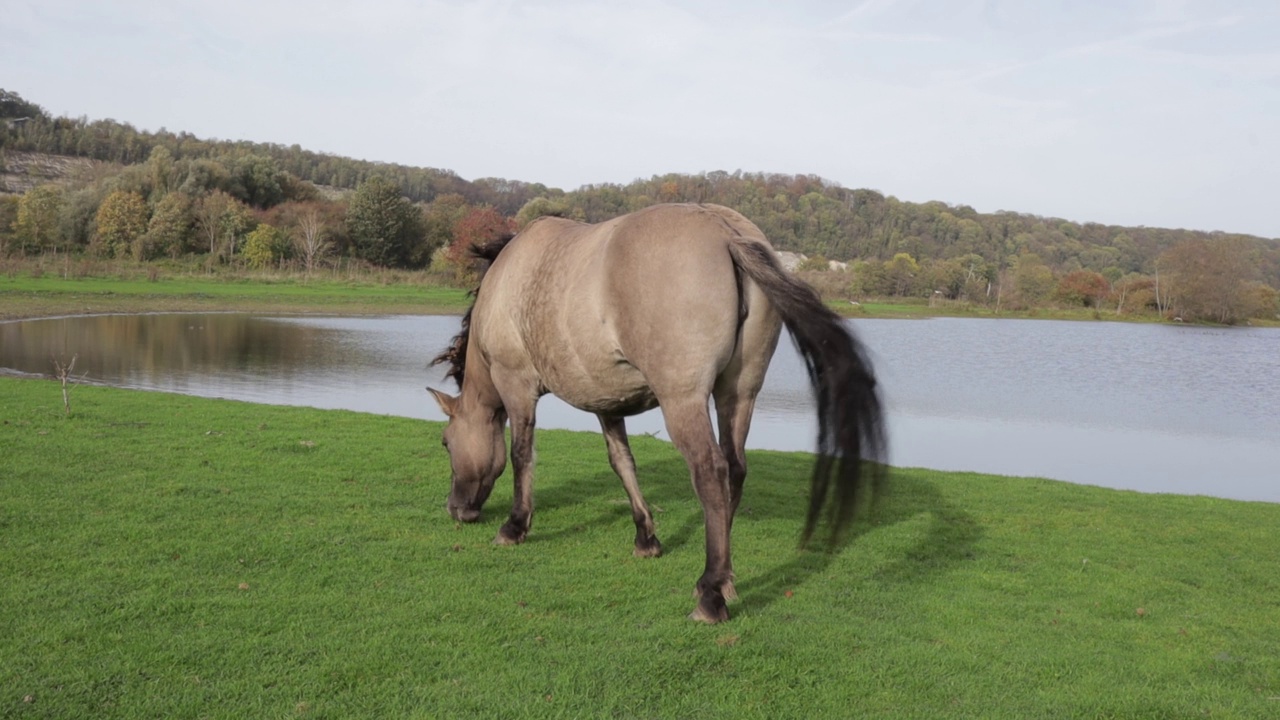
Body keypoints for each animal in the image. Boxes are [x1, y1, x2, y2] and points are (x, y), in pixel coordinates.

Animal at [427, 203, 880, 622]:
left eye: (446, 443)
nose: (455, 508)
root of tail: (725, 231)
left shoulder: (516, 384)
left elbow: (522, 455)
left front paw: (515, 526)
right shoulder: (606, 402)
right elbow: (622, 462)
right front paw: (646, 537)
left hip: (684, 401)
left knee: (711, 471)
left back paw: (710, 594)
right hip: (738, 393)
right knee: (734, 469)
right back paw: (722, 580)